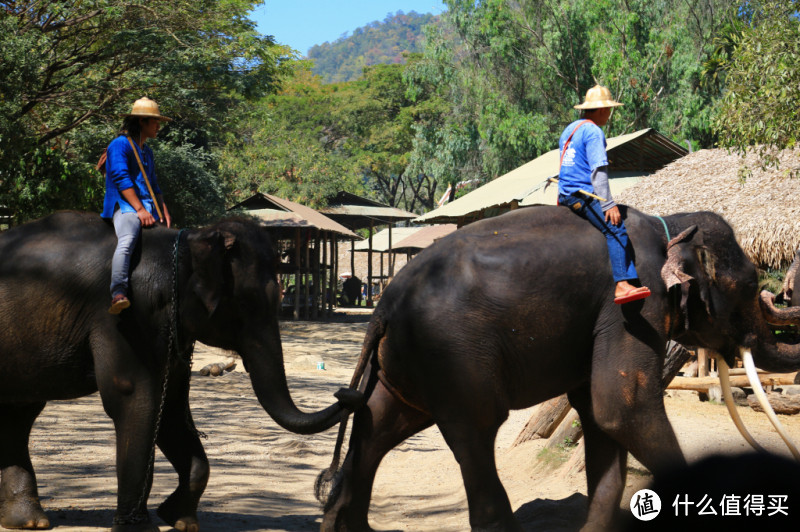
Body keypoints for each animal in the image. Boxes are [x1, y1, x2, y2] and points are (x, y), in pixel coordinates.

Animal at [318, 205, 800, 532]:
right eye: (751, 285)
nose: (774, 293)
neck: (669, 222)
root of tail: (383, 307)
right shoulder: (634, 304)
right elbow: (621, 408)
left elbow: (599, 415)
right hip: (453, 354)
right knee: (475, 428)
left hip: (406, 363)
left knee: (379, 423)